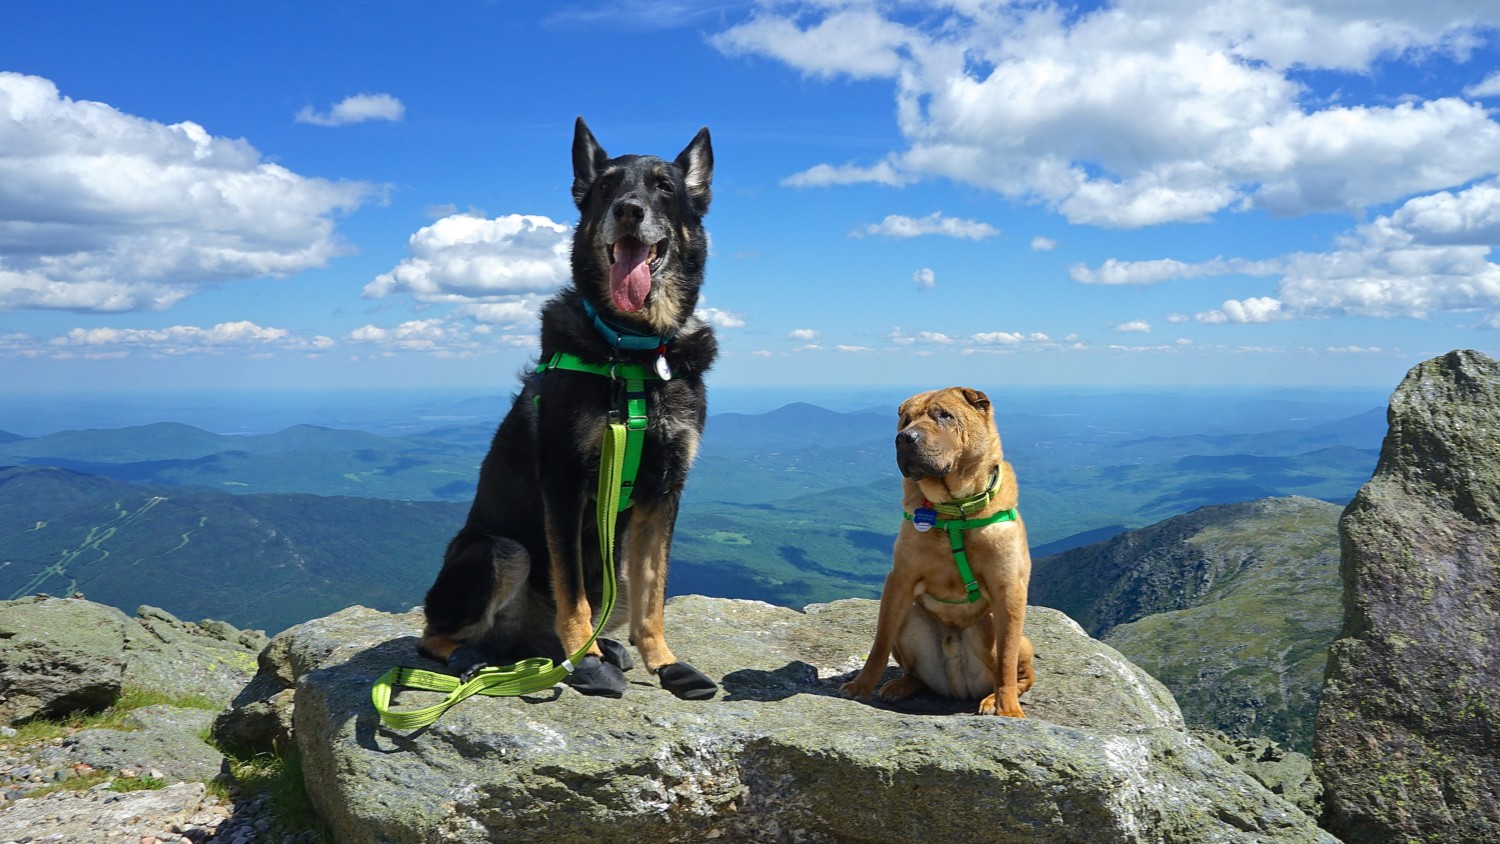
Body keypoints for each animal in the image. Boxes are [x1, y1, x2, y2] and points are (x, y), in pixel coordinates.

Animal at [420, 116, 723, 701]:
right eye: (606, 187)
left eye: (664, 187)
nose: (628, 209)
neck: (633, 351)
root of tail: (522, 645)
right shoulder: (565, 483)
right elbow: (574, 589)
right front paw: (585, 661)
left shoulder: (665, 492)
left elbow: (654, 595)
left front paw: (664, 663)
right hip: (497, 549)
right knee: (434, 633)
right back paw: (479, 657)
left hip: (613, 572)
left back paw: (605, 648)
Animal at [840, 386, 1038, 716]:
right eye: (906, 420)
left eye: (944, 415)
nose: (904, 438)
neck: (955, 511)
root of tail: (956, 689)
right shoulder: (899, 581)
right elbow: (879, 644)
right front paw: (861, 686)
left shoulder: (1009, 588)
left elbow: (1007, 661)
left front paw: (1007, 707)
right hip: (910, 617)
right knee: (915, 673)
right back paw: (900, 685)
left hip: (1000, 630)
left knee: (1018, 672)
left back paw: (991, 698)